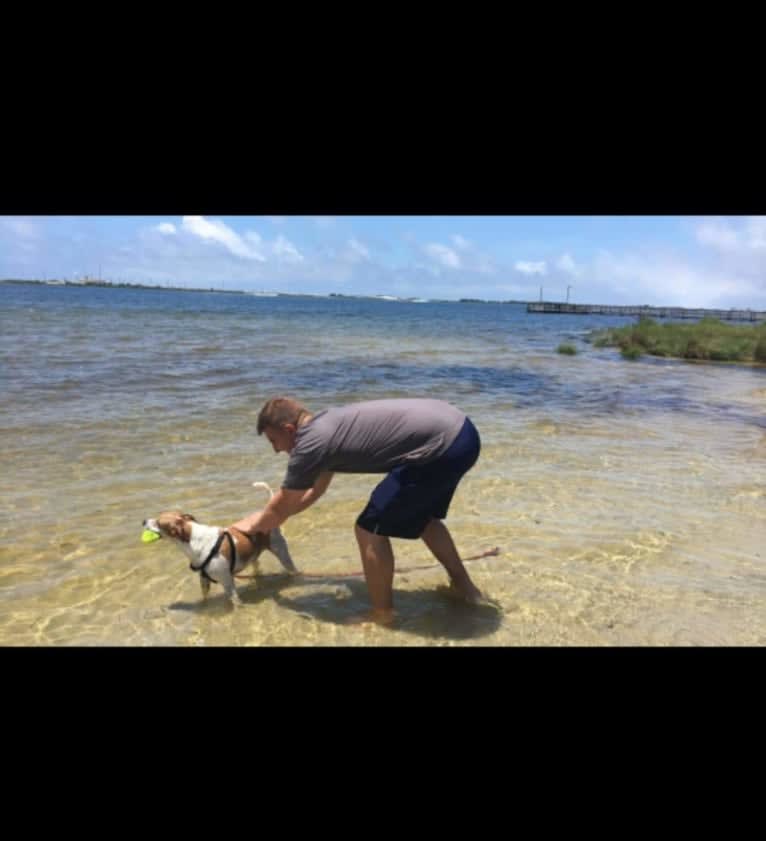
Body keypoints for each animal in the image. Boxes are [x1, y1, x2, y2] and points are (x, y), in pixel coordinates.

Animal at [142, 482, 298, 608]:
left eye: (158, 522)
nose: (143, 521)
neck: (194, 541)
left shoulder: (227, 582)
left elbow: (236, 601)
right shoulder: (204, 580)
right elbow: (205, 597)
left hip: (282, 552)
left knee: (292, 568)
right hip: (254, 556)